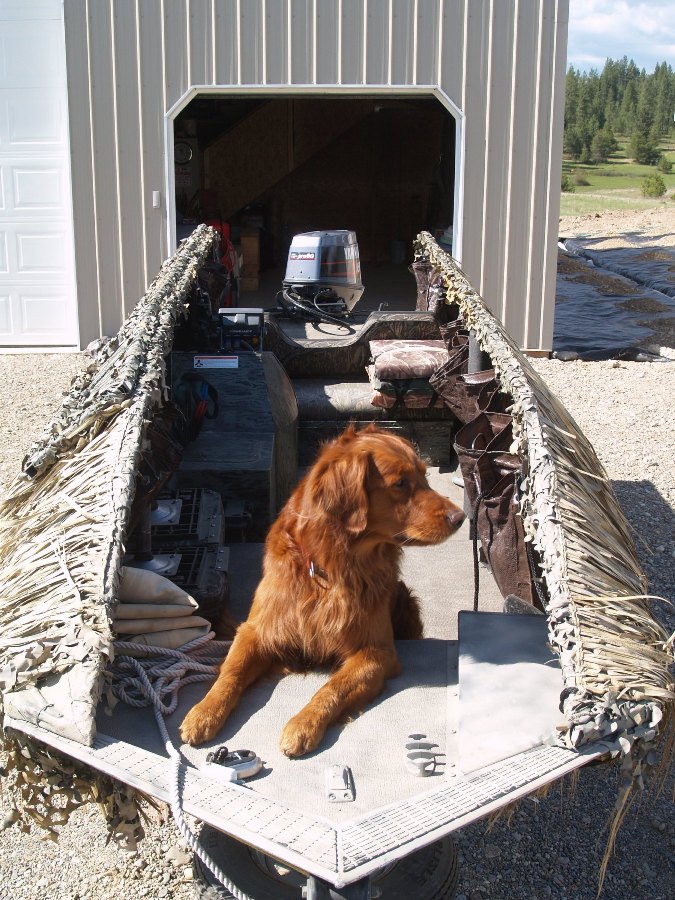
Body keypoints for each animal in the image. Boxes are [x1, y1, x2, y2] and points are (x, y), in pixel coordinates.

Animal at [180, 426, 464, 756]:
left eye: (424, 475)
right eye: (400, 483)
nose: (460, 518)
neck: (332, 564)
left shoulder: (377, 652)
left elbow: (333, 686)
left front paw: (303, 724)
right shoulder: (257, 630)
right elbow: (231, 671)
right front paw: (204, 712)